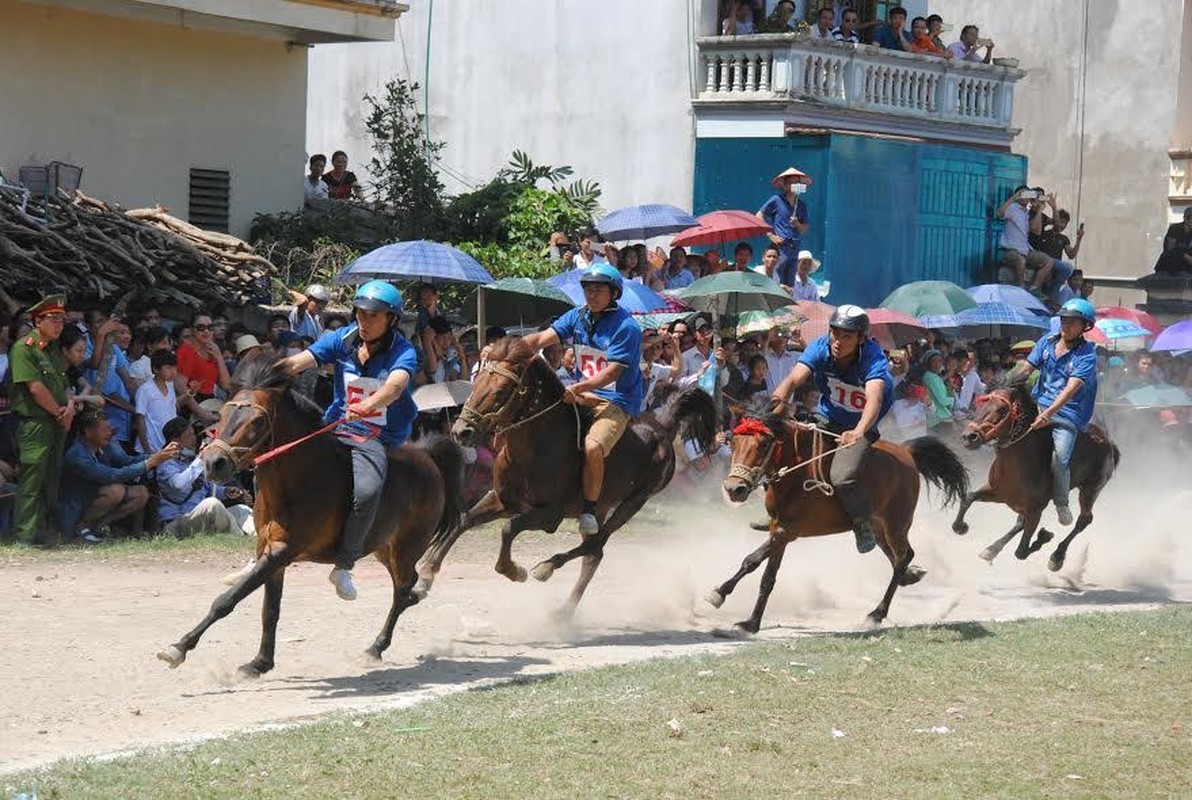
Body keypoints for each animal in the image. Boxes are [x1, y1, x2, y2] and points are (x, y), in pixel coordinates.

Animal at [153, 357, 460, 677]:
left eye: (258, 421)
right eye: (223, 413)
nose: (214, 462)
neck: (301, 479)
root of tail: (427, 456)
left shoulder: (283, 551)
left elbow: (227, 600)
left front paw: (179, 647)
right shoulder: (269, 552)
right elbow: (270, 610)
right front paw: (260, 663)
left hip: (406, 547)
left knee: (401, 589)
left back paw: (376, 646)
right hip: (384, 548)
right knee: (406, 585)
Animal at [419, 338, 715, 619]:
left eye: (502, 391)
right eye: (476, 383)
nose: (461, 431)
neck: (535, 447)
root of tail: (663, 426)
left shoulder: (550, 514)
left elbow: (508, 528)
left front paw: (514, 570)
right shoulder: (503, 499)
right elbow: (465, 520)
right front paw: (426, 575)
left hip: (634, 502)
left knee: (596, 545)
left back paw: (547, 569)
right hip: (599, 507)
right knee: (593, 553)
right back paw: (563, 610)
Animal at [710, 419, 972, 634]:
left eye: (764, 444)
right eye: (733, 443)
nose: (734, 489)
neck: (796, 474)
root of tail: (906, 452)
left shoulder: (787, 531)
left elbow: (753, 561)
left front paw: (724, 598)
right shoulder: (778, 529)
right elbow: (767, 576)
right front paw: (749, 620)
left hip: (896, 522)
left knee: (901, 557)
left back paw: (876, 614)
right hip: (877, 525)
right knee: (900, 555)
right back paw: (911, 575)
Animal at [948, 383, 1115, 572]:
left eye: (1002, 409)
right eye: (979, 405)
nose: (969, 436)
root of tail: (1107, 441)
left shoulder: (1036, 510)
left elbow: (1020, 552)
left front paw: (1044, 536)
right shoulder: (998, 492)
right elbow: (969, 498)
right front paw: (960, 527)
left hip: (1091, 489)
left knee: (1084, 520)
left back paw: (1057, 556)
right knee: (1020, 523)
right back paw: (991, 549)